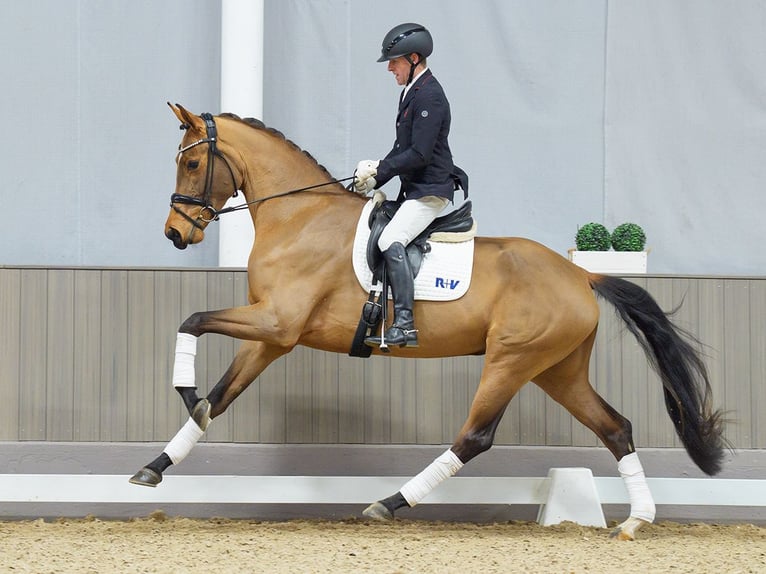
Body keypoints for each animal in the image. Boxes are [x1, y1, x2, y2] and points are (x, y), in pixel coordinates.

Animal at [130, 106, 728, 544]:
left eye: (190, 165)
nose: (176, 234)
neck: (299, 217)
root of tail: (582, 275)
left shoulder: (276, 324)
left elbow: (192, 321)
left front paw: (186, 395)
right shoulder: (273, 338)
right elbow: (221, 394)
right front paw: (156, 465)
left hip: (512, 359)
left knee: (475, 436)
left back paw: (389, 502)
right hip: (556, 370)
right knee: (615, 427)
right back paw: (635, 520)